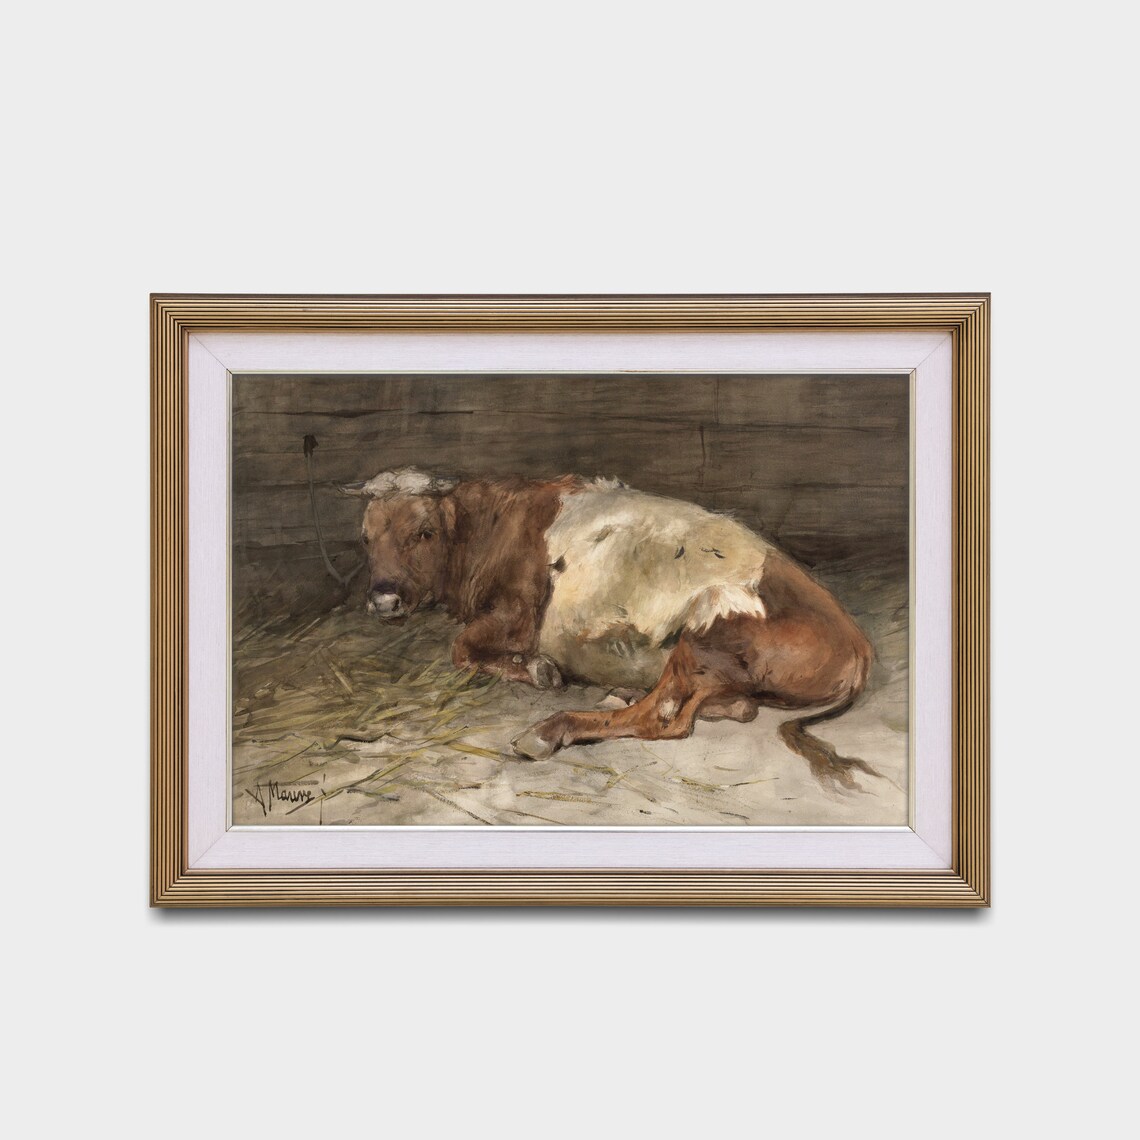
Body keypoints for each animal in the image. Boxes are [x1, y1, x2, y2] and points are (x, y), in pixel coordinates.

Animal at [342, 467, 877, 788]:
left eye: (424, 532)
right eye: (365, 538)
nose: (383, 599)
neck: (495, 525)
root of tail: (858, 643)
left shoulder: (515, 615)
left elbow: (462, 650)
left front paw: (540, 671)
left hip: (706, 627)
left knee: (665, 717)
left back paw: (549, 730)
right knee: (732, 707)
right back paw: (620, 692)